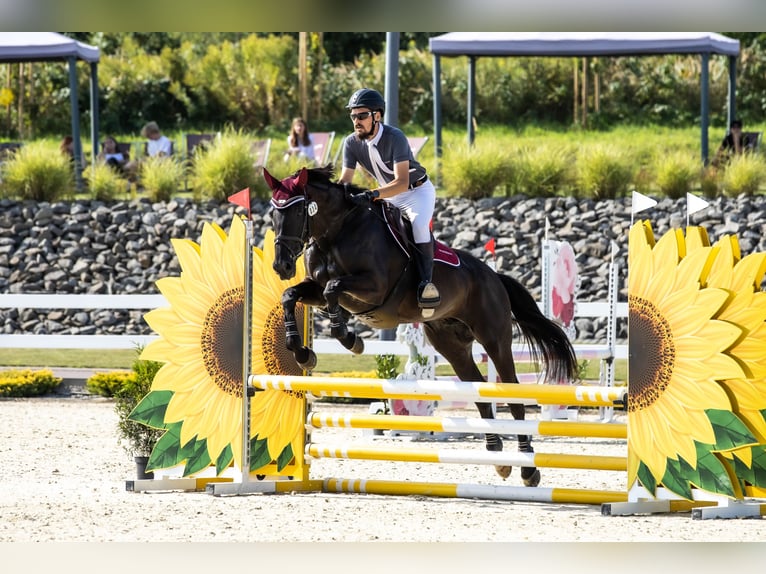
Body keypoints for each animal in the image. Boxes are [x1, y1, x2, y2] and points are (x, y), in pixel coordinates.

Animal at [260, 165, 580, 486]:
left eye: (297, 210)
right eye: (273, 213)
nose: (281, 266)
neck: (336, 233)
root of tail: (494, 277)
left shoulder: (373, 287)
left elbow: (333, 289)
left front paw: (349, 337)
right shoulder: (314, 287)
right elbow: (291, 296)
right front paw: (302, 352)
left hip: (494, 338)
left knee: (512, 394)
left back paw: (528, 467)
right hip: (451, 346)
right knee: (478, 391)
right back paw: (498, 456)